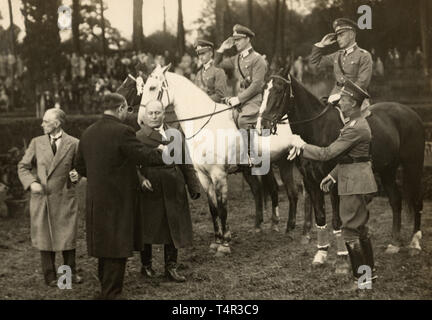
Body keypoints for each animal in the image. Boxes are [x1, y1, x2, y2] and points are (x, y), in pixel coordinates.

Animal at [138, 64, 296, 255]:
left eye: (152, 88)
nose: (141, 120)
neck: (205, 125)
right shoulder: (203, 176)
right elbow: (213, 208)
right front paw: (216, 241)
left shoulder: (219, 175)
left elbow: (223, 208)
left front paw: (225, 243)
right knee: (268, 189)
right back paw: (268, 225)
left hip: (286, 163)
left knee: (293, 193)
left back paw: (292, 229)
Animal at [258, 68, 424, 258]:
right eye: (263, 91)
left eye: (279, 90)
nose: (262, 125)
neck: (317, 128)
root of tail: (411, 112)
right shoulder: (311, 181)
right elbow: (320, 217)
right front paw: (321, 253)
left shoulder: (332, 183)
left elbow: (336, 220)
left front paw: (343, 252)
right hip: (387, 170)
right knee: (396, 200)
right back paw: (394, 243)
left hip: (413, 166)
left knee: (417, 200)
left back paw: (415, 243)